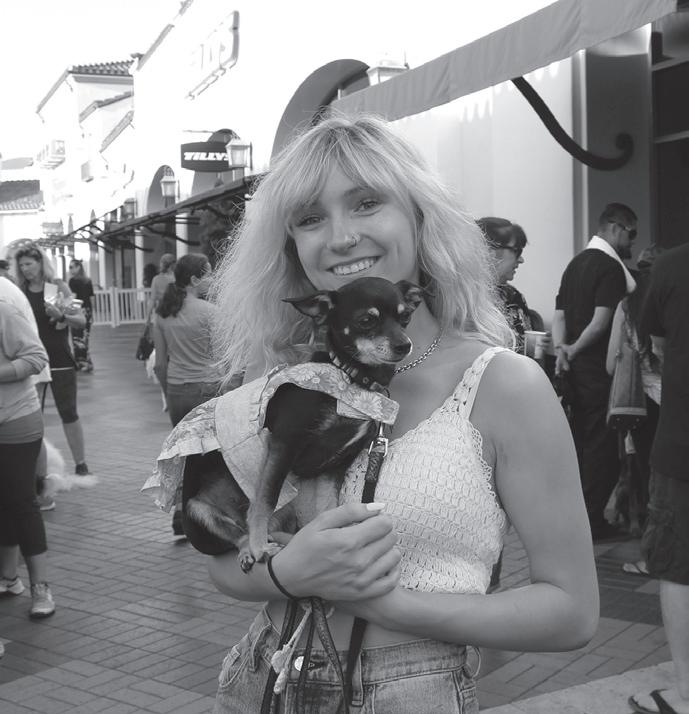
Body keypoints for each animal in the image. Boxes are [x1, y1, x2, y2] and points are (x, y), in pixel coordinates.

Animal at [182, 276, 422, 571]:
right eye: (366, 320)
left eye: (405, 317)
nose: (404, 345)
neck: (349, 377)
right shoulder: (284, 443)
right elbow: (264, 500)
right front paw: (259, 546)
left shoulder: (336, 465)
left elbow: (329, 505)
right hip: (197, 512)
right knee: (237, 534)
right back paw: (250, 548)